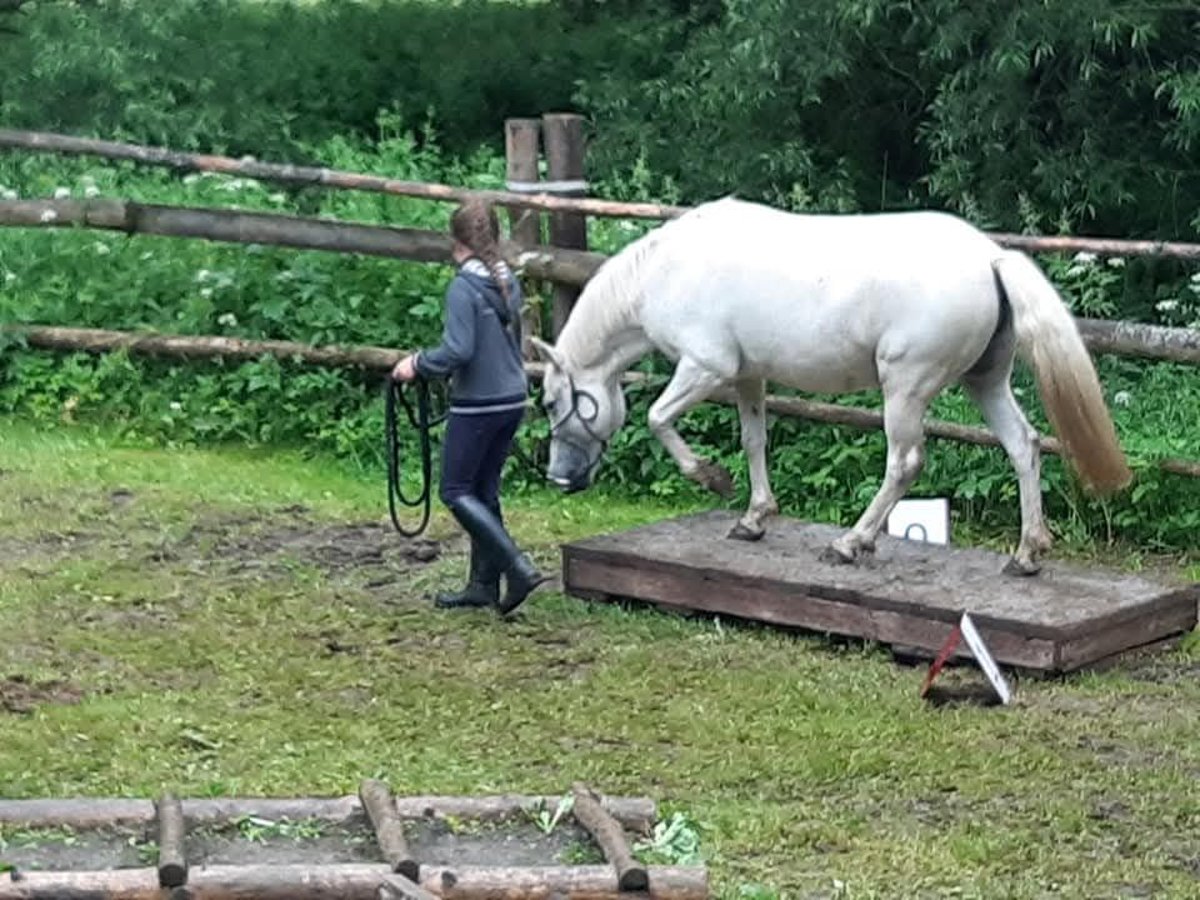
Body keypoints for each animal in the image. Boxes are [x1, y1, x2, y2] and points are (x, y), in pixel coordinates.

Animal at [530, 198, 1128, 578]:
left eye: (553, 402)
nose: (559, 479)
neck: (661, 272)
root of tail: (990, 256)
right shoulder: (748, 375)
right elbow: (754, 441)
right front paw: (754, 518)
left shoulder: (706, 368)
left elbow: (658, 417)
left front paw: (712, 479)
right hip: (985, 382)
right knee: (1023, 446)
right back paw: (1026, 555)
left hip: (905, 389)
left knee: (904, 463)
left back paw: (850, 544)